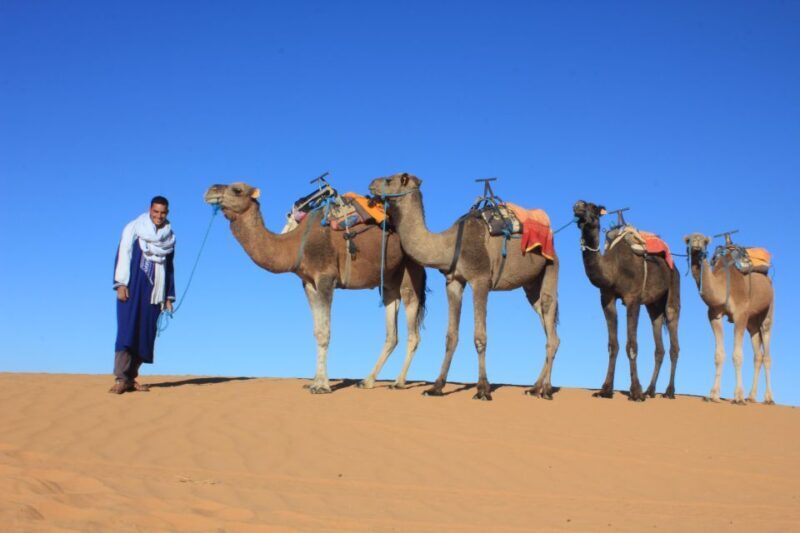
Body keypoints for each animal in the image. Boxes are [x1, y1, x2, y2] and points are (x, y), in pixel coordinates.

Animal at [204, 182, 427, 394]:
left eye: (237, 189)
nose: (210, 190)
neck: (295, 244)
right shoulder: (309, 284)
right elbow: (317, 331)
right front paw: (314, 381)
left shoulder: (326, 277)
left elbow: (325, 332)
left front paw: (322, 386)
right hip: (388, 281)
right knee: (392, 332)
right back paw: (367, 381)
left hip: (410, 269)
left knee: (413, 325)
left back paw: (398, 382)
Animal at [368, 173, 560, 401]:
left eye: (390, 180)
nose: (371, 185)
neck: (449, 246)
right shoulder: (453, 282)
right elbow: (451, 336)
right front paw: (436, 387)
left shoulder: (480, 280)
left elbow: (480, 336)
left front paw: (483, 389)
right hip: (531, 284)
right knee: (546, 321)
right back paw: (534, 387)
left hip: (550, 266)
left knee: (550, 320)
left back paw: (546, 389)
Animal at [572, 201, 680, 401]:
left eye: (593, 207)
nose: (578, 205)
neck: (613, 269)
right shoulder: (606, 299)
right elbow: (612, 345)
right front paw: (606, 390)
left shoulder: (633, 300)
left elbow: (631, 345)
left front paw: (635, 392)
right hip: (653, 306)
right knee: (658, 343)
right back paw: (650, 390)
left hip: (673, 290)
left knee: (673, 336)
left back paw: (669, 391)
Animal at [684, 233, 775, 404]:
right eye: (688, 239)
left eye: (705, 241)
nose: (696, 241)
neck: (722, 285)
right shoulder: (714, 315)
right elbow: (719, 355)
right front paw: (713, 395)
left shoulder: (740, 314)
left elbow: (737, 355)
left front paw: (738, 396)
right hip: (751, 322)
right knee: (757, 355)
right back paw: (751, 397)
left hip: (768, 310)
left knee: (766, 352)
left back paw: (769, 398)